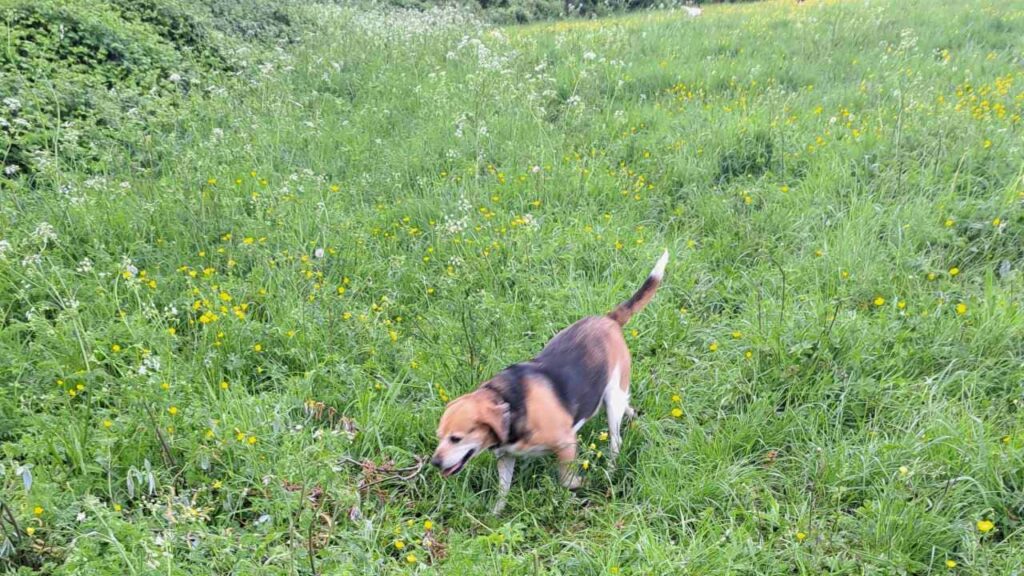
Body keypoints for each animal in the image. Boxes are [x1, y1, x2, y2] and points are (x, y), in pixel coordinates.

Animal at [428, 249, 667, 508]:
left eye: (456, 439)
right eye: (439, 437)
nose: (434, 463)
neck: (509, 402)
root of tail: (609, 319)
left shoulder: (566, 443)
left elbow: (567, 480)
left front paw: (581, 485)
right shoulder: (506, 456)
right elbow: (503, 491)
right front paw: (495, 513)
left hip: (612, 399)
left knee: (616, 441)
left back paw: (611, 470)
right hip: (616, 395)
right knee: (626, 405)